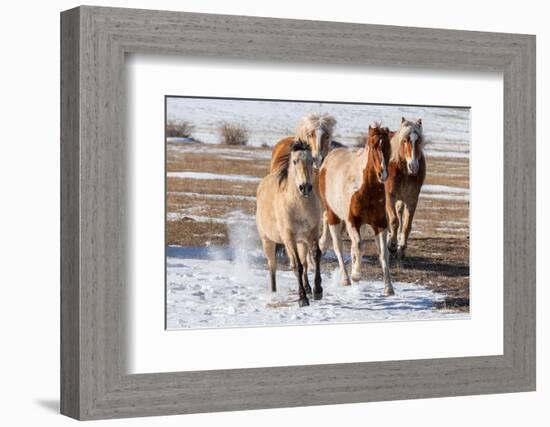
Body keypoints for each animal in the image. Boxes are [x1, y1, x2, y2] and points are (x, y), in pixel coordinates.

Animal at [258, 140, 326, 308]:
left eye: (311, 160)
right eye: (295, 161)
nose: (305, 187)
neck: (299, 206)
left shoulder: (313, 233)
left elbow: (315, 256)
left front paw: (317, 291)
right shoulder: (289, 238)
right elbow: (297, 266)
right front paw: (302, 299)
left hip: (301, 242)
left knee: (304, 262)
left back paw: (308, 288)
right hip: (269, 241)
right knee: (273, 266)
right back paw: (274, 292)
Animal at [320, 123, 396, 298]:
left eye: (388, 146)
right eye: (373, 146)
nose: (383, 174)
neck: (365, 188)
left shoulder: (380, 224)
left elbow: (383, 253)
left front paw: (389, 288)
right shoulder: (352, 221)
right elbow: (359, 245)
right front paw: (356, 275)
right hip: (334, 216)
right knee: (338, 245)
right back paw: (346, 279)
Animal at [386, 117, 430, 260]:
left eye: (419, 140)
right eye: (405, 140)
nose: (413, 166)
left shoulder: (412, 199)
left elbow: (406, 225)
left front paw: (402, 248)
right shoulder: (390, 197)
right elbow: (394, 221)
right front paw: (392, 246)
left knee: (400, 213)